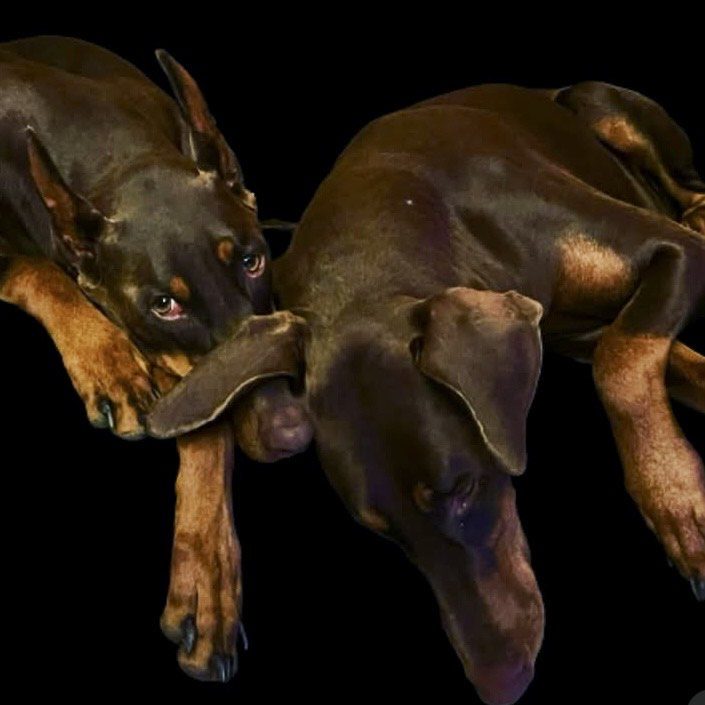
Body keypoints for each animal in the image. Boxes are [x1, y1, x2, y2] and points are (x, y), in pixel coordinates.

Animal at [0, 36, 312, 681]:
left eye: (252, 260)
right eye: (164, 304)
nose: (288, 431)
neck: (106, 144)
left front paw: (206, 583)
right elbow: (37, 268)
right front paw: (109, 360)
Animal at [149, 81, 705, 704]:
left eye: (462, 487)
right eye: (380, 532)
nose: (501, 682)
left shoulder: (674, 251)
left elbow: (621, 357)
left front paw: (676, 500)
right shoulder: (571, 331)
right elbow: (627, 351)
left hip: (601, 104)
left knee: (688, 193)